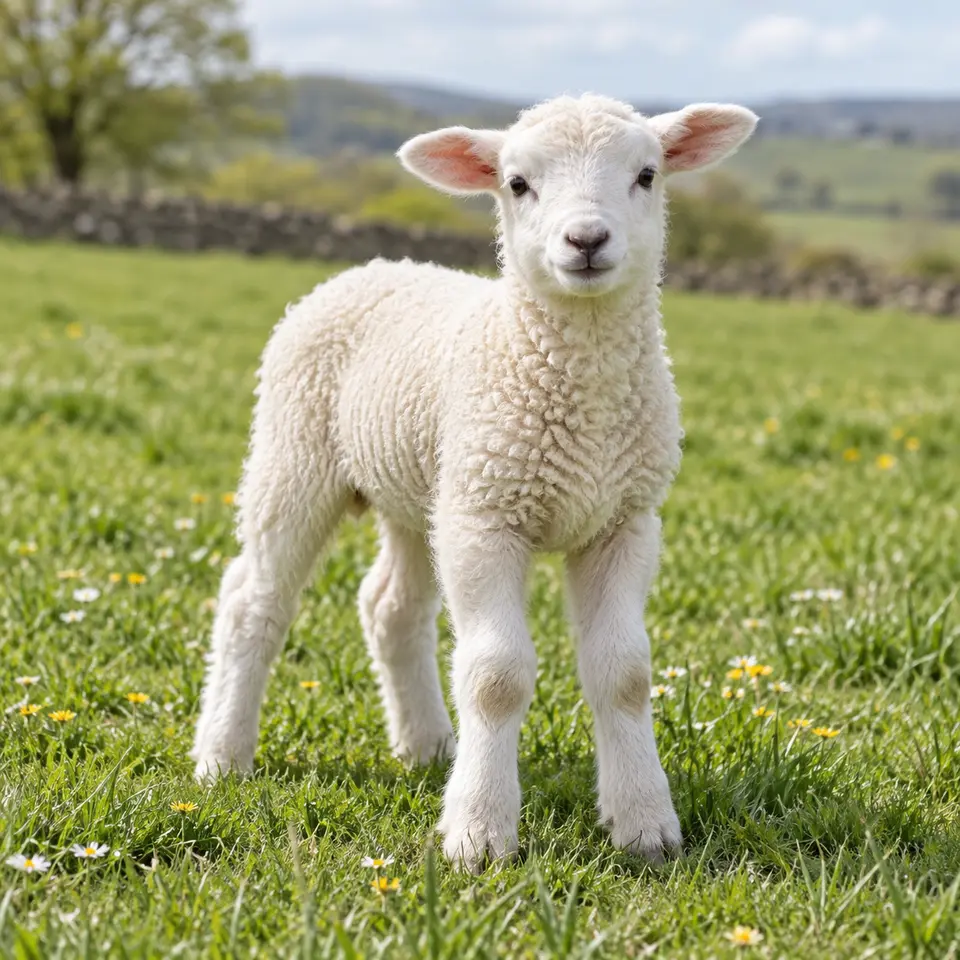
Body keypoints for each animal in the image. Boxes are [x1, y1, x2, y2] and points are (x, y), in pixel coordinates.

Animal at [191, 93, 758, 872]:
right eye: (517, 183)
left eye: (647, 174)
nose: (586, 239)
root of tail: (371, 264)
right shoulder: (487, 516)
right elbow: (496, 676)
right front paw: (480, 835)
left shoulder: (625, 520)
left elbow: (625, 672)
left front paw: (645, 824)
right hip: (295, 452)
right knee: (253, 600)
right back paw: (222, 756)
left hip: (421, 492)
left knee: (390, 607)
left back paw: (427, 747)